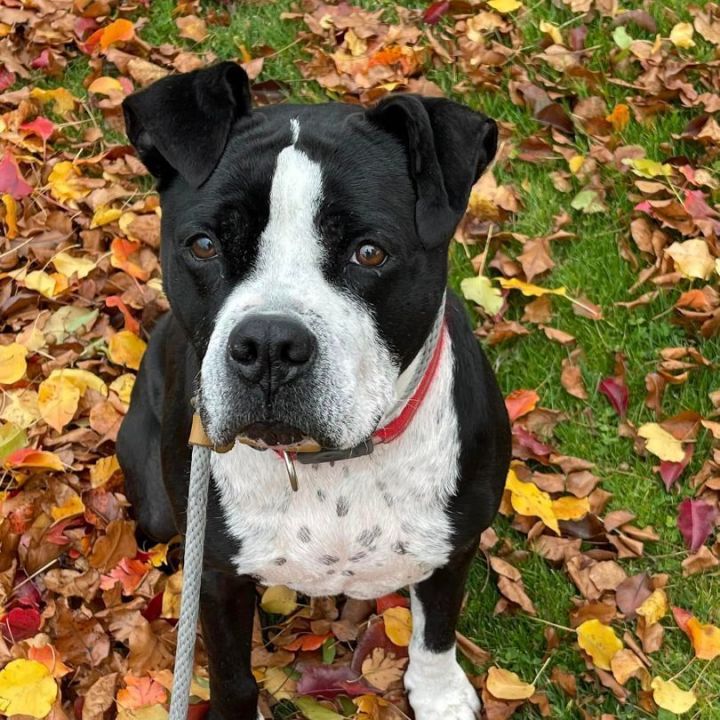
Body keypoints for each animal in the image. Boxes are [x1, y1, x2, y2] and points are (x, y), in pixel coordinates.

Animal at [116, 62, 512, 720]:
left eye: (369, 252)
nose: (269, 345)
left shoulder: (454, 544)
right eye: (204, 245)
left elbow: (435, 631)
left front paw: (438, 694)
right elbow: (232, 676)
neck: (331, 467)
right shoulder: (217, 575)